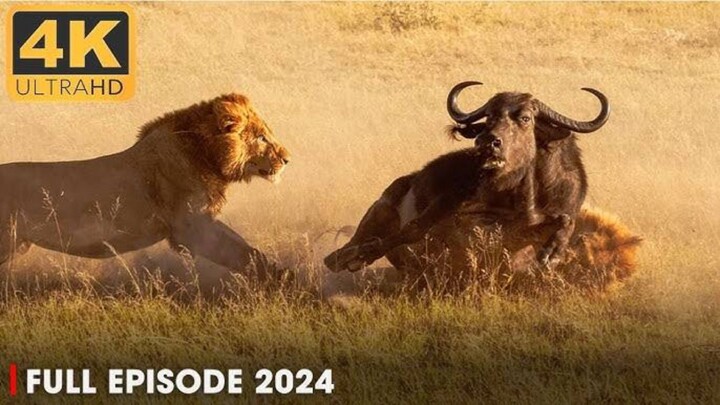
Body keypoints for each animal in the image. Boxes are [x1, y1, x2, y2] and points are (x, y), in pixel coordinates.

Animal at [0, 93, 290, 278]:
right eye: (261, 137)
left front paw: (281, 276)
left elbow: (244, 247)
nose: (288, 159)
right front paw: (278, 279)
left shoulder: (202, 221)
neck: (206, 156)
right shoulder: (191, 228)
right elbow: (243, 253)